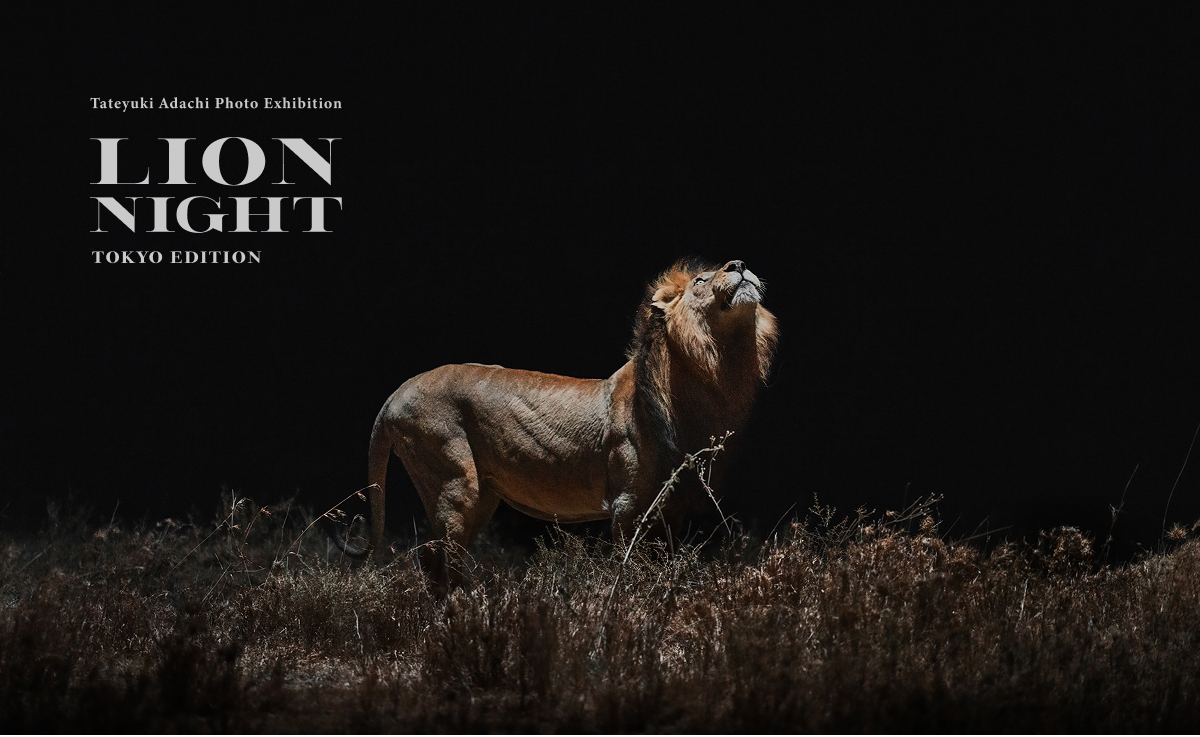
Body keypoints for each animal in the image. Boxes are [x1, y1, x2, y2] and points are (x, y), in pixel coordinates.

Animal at [324, 258, 778, 593]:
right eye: (701, 279)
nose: (739, 263)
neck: (715, 370)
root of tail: (395, 394)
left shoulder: (674, 506)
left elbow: (664, 565)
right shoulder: (628, 504)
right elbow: (629, 569)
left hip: (482, 496)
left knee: (439, 558)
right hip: (454, 481)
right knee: (437, 559)